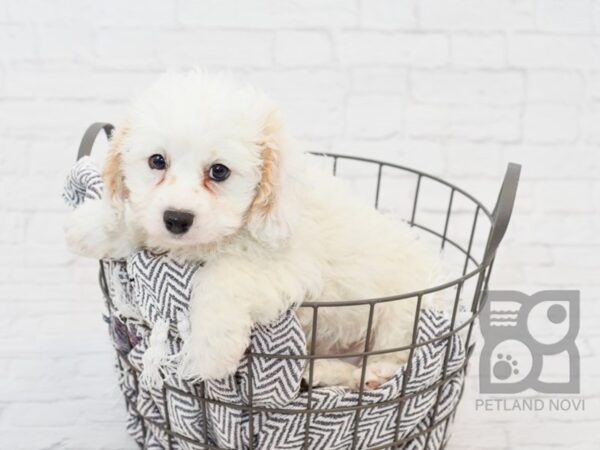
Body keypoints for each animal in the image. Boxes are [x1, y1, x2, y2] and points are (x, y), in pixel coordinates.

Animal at [64, 71, 440, 390]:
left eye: (219, 171)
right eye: (157, 161)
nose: (177, 219)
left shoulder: (288, 267)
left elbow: (221, 275)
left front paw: (212, 350)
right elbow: (138, 221)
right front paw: (91, 224)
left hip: (403, 314)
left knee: (388, 359)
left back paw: (371, 374)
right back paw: (318, 372)